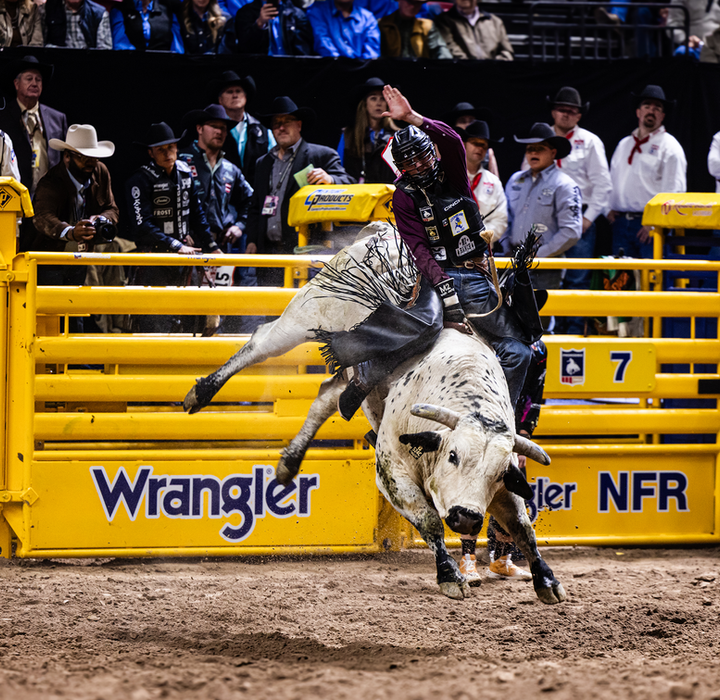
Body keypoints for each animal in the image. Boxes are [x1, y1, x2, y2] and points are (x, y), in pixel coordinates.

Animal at [184, 223, 566, 604]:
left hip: (347, 367)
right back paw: (199, 393)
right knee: (261, 343)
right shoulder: (392, 471)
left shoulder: (502, 485)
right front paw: (449, 576)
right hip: (307, 312)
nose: (467, 517)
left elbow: (522, 527)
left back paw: (290, 462)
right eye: (453, 456)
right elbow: (429, 520)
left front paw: (546, 579)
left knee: (329, 394)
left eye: (498, 472)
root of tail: (378, 231)